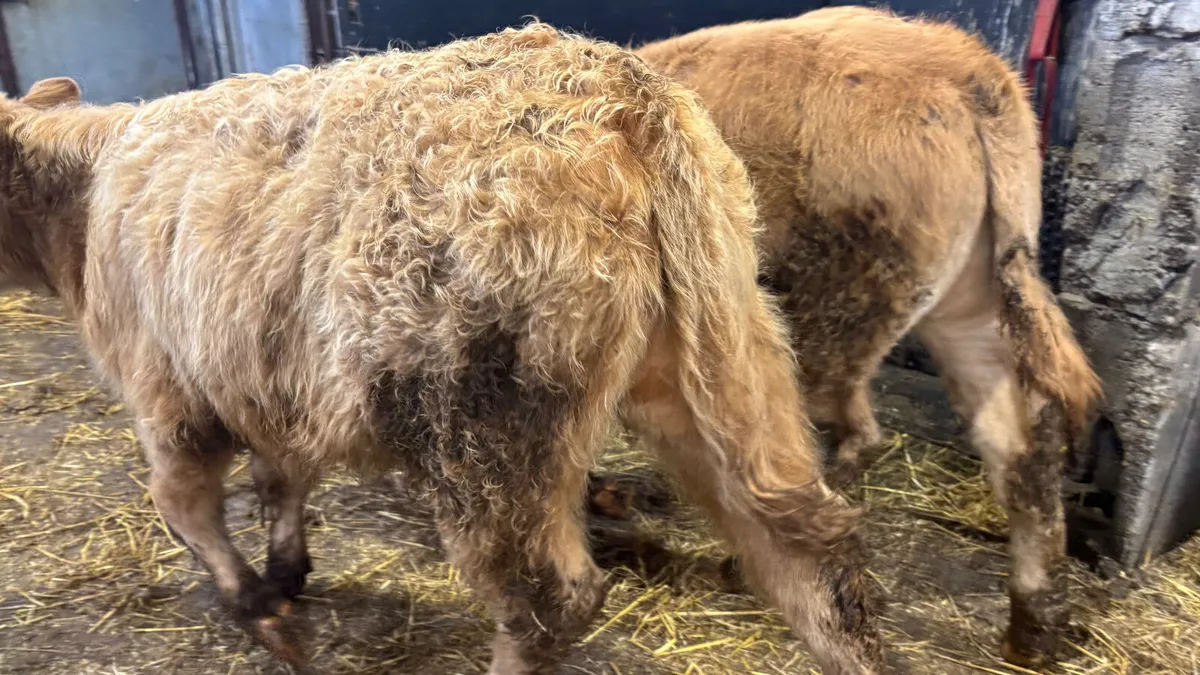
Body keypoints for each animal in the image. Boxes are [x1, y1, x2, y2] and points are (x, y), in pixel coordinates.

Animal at [0, 25, 883, 675]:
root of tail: (626, 96)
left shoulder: (167, 388)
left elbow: (185, 503)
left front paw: (257, 606)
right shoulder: (268, 380)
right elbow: (281, 477)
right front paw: (285, 575)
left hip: (487, 434)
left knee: (550, 600)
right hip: (725, 364)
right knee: (814, 552)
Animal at [599, 6, 1103, 669]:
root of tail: (966, 69)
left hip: (832, 319)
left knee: (830, 456)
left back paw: (741, 568)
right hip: (971, 305)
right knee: (1022, 444)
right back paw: (1035, 628)